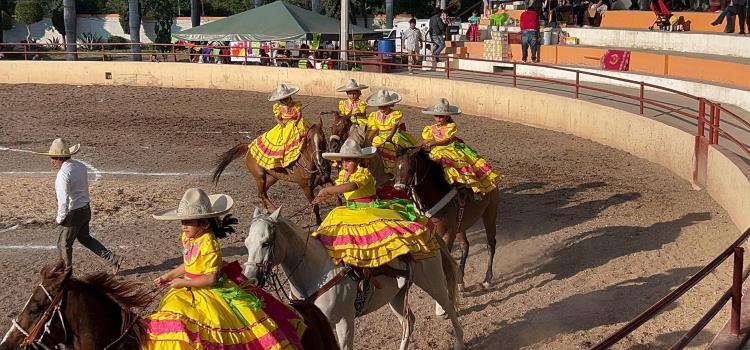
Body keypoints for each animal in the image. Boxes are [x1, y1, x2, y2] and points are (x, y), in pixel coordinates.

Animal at [244, 208, 468, 350]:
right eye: (246, 243)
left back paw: (459, 343)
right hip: (396, 296)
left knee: (449, 307)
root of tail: (426, 230)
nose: (251, 279)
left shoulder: (345, 321)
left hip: (433, 283)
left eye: (266, 243)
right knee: (408, 322)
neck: (317, 273)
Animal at [390, 149, 502, 288]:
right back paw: (460, 281)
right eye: (395, 168)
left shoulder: (448, 233)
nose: (398, 189)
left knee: (490, 244)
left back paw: (487, 279)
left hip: (489, 213)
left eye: (410, 169)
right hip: (460, 225)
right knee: (465, 246)